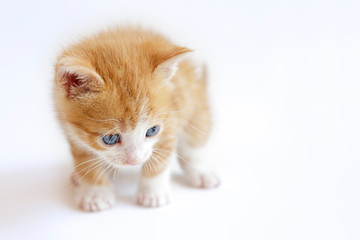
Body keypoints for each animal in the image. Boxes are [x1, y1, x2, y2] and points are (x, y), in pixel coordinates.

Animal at [54, 26, 219, 212]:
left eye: (152, 130)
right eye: (110, 138)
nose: (135, 161)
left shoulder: (170, 119)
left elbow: (161, 158)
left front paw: (152, 193)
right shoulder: (71, 129)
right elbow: (85, 162)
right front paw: (95, 193)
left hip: (195, 106)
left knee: (194, 142)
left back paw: (201, 172)